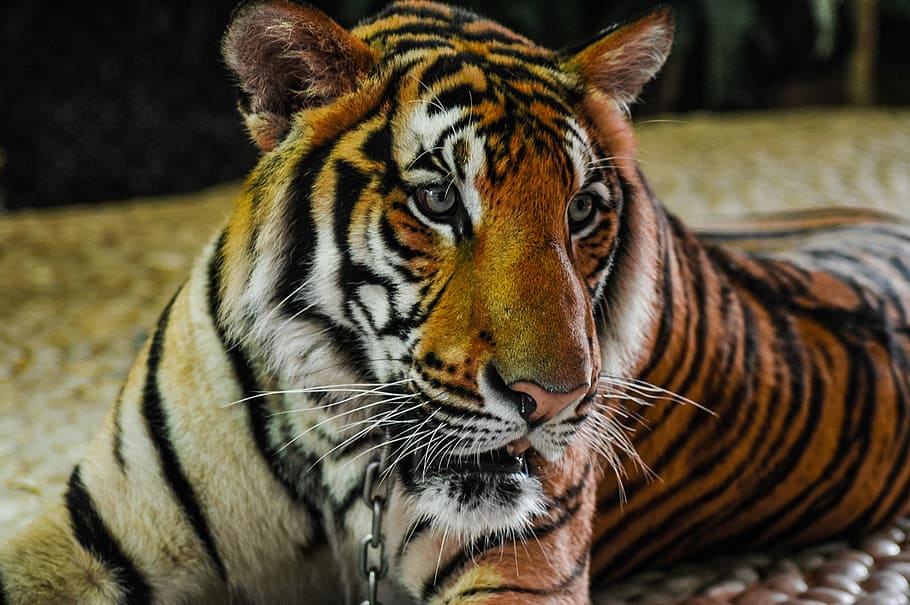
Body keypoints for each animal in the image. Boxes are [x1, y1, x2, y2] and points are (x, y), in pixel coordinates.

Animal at [2, 1, 910, 604]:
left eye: (583, 209)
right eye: (439, 199)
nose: (555, 399)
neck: (344, 450)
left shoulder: (521, 569)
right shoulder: (91, 535)